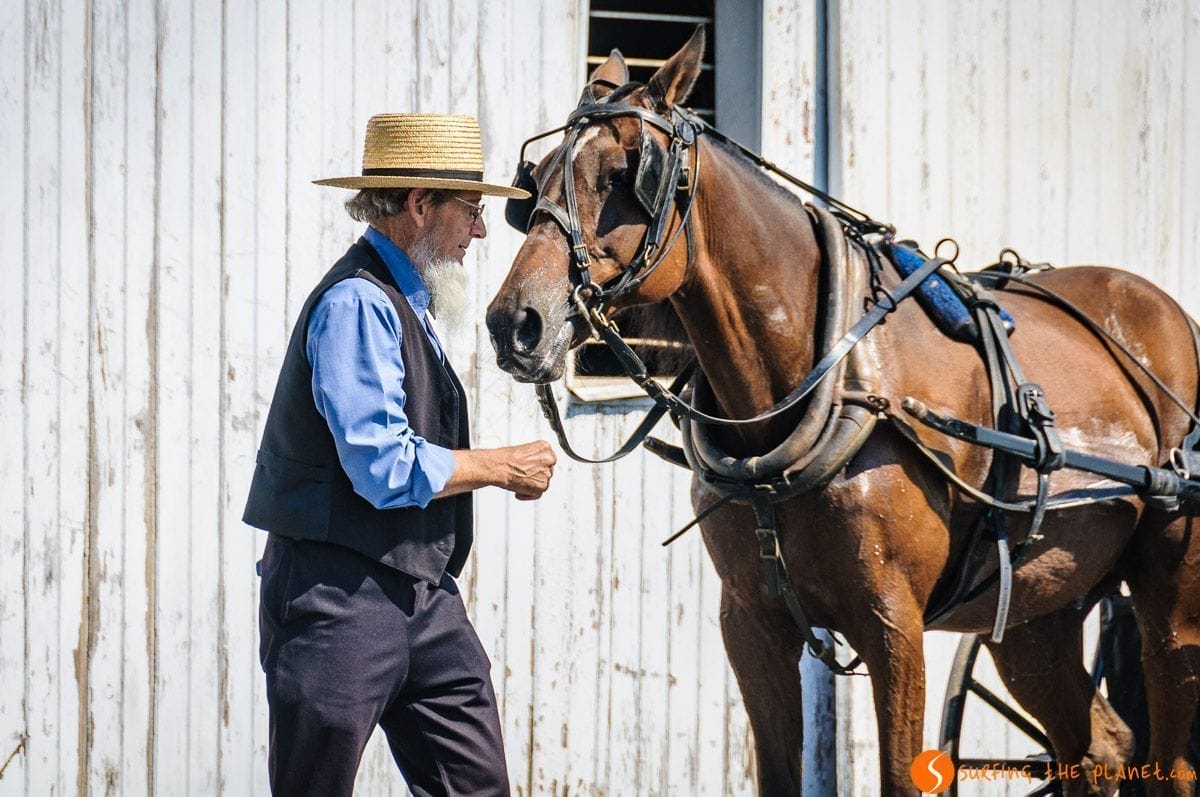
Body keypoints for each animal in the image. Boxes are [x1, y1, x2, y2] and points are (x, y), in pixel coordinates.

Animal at [485, 28, 1200, 795]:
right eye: (539, 177)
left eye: (626, 174)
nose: (515, 323)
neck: (818, 382)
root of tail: (1169, 314)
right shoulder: (752, 625)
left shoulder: (894, 629)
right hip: (1042, 605)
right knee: (1094, 747)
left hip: (1170, 599)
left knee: (1171, 751)